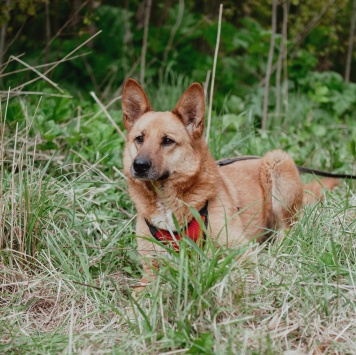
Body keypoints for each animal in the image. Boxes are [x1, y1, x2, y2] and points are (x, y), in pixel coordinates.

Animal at [122, 78, 340, 290]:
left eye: (167, 141)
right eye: (139, 139)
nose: (139, 165)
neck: (166, 200)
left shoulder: (240, 250)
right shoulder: (150, 272)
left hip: (277, 164)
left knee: (287, 231)